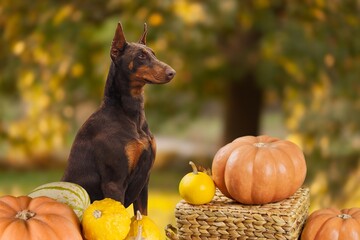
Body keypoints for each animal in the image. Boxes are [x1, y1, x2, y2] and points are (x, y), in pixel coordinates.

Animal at [62, 21, 176, 215]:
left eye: (154, 54)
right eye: (141, 56)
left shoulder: (144, 181)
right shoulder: (114, 183)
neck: (130, 114)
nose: (172, 72)